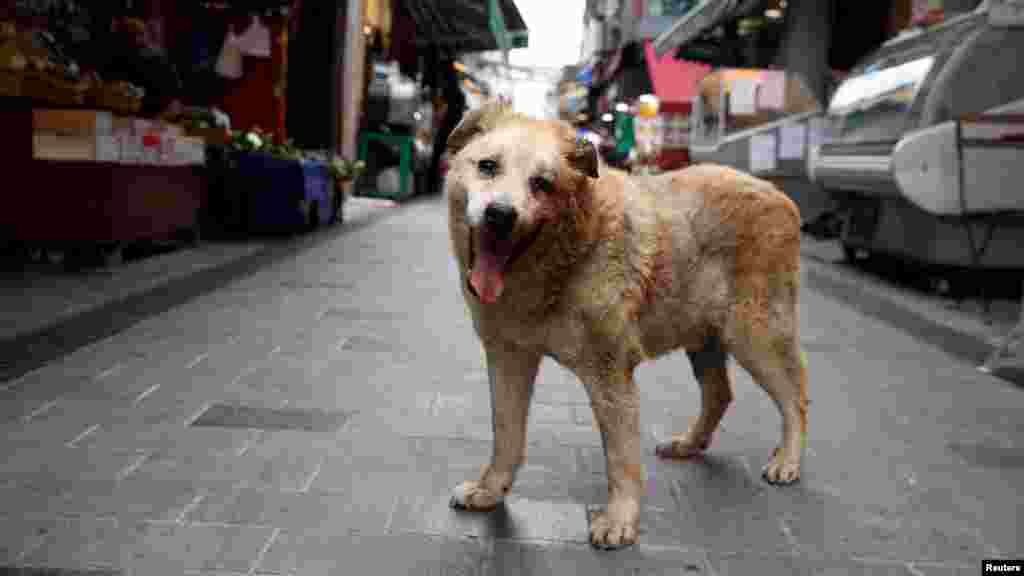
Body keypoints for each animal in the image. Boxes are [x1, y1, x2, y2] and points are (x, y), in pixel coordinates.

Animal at [444, 101, 811, 545]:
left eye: (542, 184)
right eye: (487, 166)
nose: (500, 215)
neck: (563, 261)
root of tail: (778, 194)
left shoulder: (610, 374)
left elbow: (620, 458)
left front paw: (620, 520)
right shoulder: (509, 357)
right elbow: (506, 433)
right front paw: (490, 490)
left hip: (754, 335)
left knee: (795, 397)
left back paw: (788, 460)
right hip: (704, 337)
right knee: (720, 394)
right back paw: (690, 444)